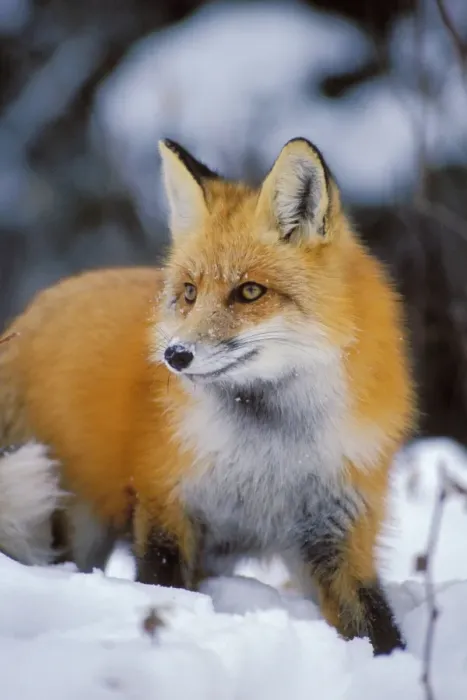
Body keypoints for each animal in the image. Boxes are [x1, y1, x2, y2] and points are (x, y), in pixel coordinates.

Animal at [0, 137, 415, 655]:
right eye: (190, 293)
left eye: (250, 291)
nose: (175, 355)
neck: (270, 452)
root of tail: (28, 313)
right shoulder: (166, 505)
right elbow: (163, 590)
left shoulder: (337, 528)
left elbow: (376, 628)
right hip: (69, 518)